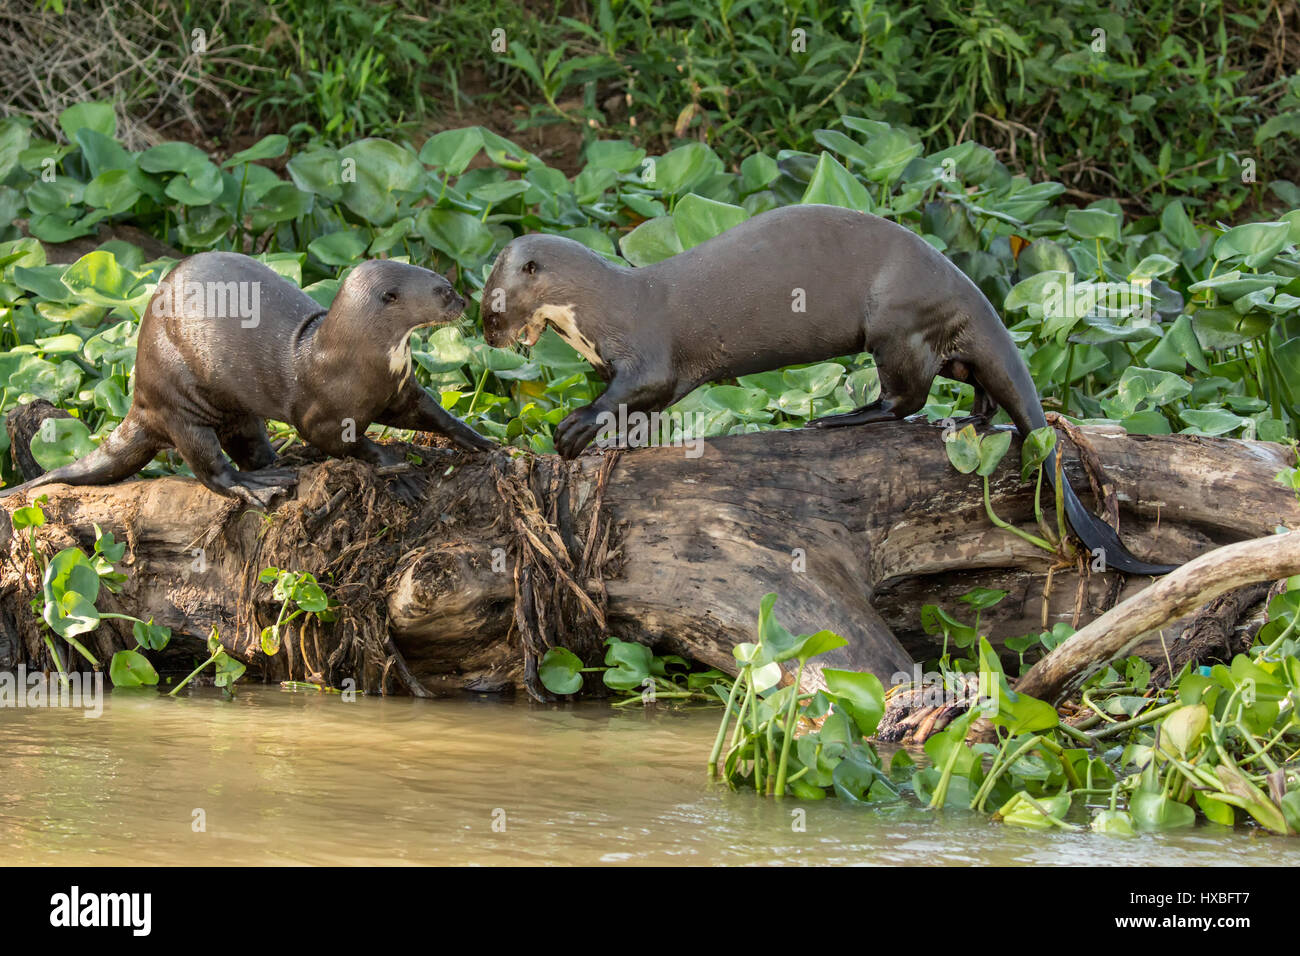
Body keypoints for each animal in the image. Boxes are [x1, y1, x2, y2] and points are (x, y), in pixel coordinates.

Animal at [3, 252, 491, 509]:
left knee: (250, 444)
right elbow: (343, 442)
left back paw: (281, 465)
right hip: (177, 401)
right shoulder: (321, 414)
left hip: (237, 411)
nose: (465, 301)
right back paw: (254, 485)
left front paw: (480, 441)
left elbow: (431, 415)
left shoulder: (399, 390)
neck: (353, 358)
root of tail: (138, 397)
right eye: (444, 291)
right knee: (209, 467)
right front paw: (395, 466)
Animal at [486, 204, 1180, 574]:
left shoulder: (647, 355)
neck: (602, 307)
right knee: (968, 381)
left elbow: (634, 392)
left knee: (906, 399)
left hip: (895, 323)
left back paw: (840, 418)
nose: (487, 332)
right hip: (931, 336)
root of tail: (971, 289)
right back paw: (974, 421)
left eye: (495, 304)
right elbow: (637, 414)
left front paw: (575, 429)